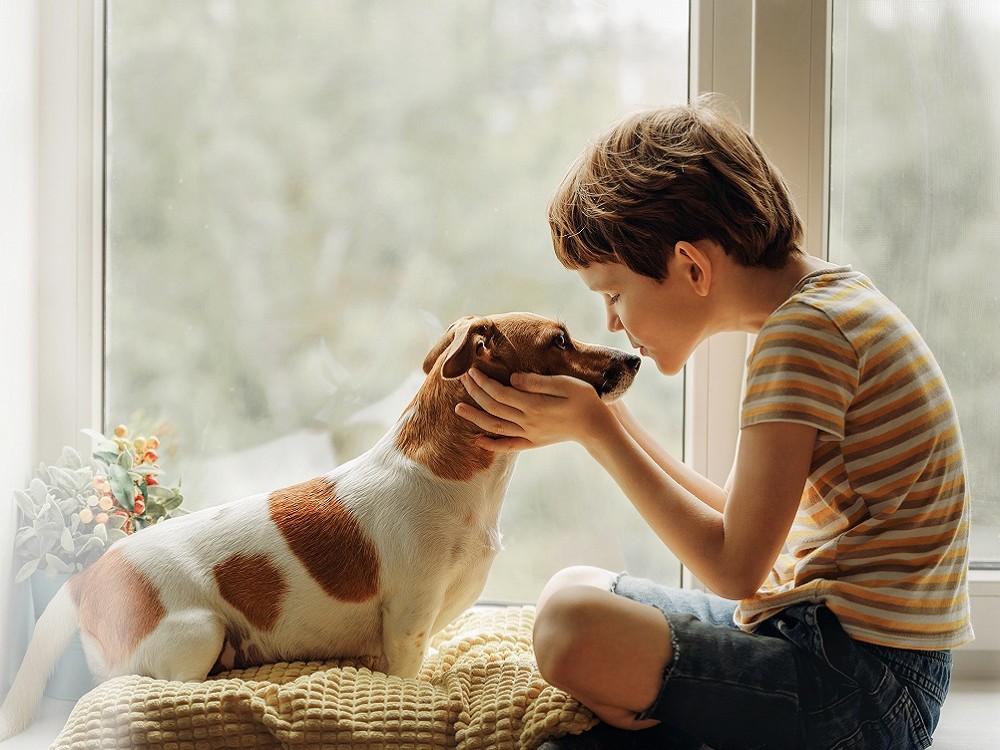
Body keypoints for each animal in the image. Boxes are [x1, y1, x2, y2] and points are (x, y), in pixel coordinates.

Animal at [0, 312, 640, 740]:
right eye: (559, 340)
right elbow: (410, 672)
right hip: (199, 631)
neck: (456, 478)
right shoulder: (407, 622)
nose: (634, 358)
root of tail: (87, 579)